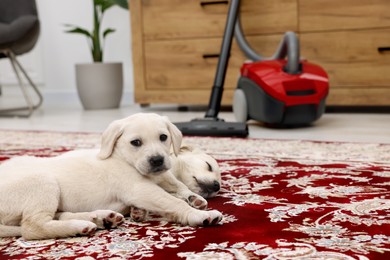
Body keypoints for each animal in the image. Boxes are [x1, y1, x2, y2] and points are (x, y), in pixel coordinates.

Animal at [0, 113, 222, 240]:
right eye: (136, 142)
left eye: (163, 137)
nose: (157, 160)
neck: (124, 158)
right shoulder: (140, 189)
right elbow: (172, 201)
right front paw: (199, 214)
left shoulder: (162, 178)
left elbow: (176, 186)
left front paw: (194, 198)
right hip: (42, 182)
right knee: (32, 227)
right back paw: (80, 225)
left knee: (54, 216)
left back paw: (100, 218)